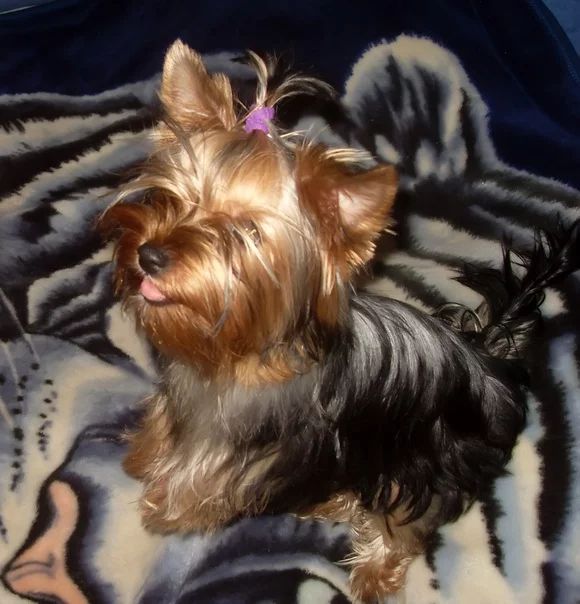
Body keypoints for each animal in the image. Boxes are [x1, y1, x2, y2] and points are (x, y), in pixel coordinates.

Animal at [99, 40, 580, 601]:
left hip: (427, 456)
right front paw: (144, 455)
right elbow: (163, 430)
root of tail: (485, 354)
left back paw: (373, 572)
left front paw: (166, 506)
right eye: (172, 195)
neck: (233, 352)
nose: (149, 255)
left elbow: (199, 486)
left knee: (405, 515)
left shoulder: (243, 452)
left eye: (245, 232)